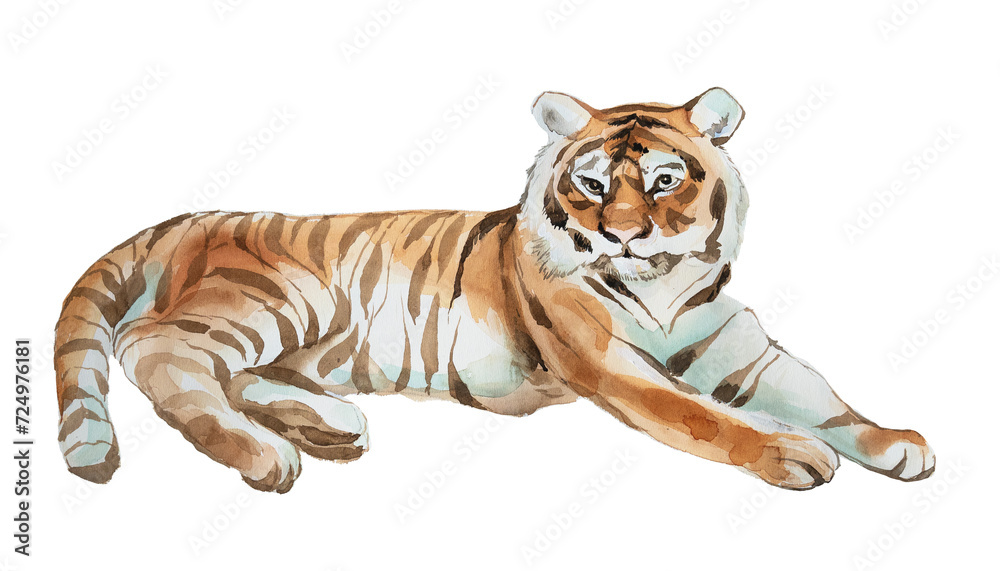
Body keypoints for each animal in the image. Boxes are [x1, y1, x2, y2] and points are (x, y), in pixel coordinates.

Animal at [54, 88, 935, 493]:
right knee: (154, 348)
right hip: (280, 297)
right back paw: (268, 454)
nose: (623, 233)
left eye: (662, 180)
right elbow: (701, 415)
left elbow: (820, 393)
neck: (663, 283)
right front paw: (792, 451)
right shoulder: (605, 359)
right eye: (590, 184)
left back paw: (331, 423)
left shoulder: (740, 348)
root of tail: (189, 218)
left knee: (230, 371)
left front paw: (897, 443)